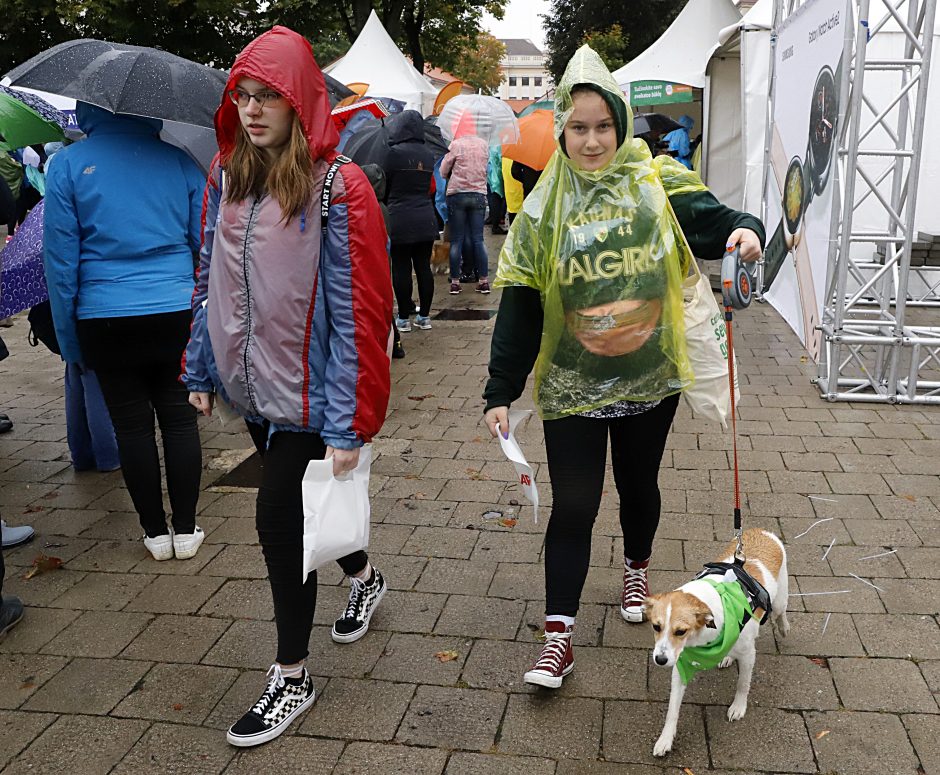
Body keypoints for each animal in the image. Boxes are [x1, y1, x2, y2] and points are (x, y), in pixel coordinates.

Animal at [644, 528, 788, 756]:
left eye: (680, 631)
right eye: (656, 627)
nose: (660, 660)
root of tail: (762, 531)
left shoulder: (749, 655)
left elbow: (743, 684)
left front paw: (738, 707)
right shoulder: (681, 663)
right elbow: (672, 709)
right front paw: (665, 739)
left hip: (780, 600)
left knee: (781, 613)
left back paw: (783, 627)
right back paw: (727, 657)